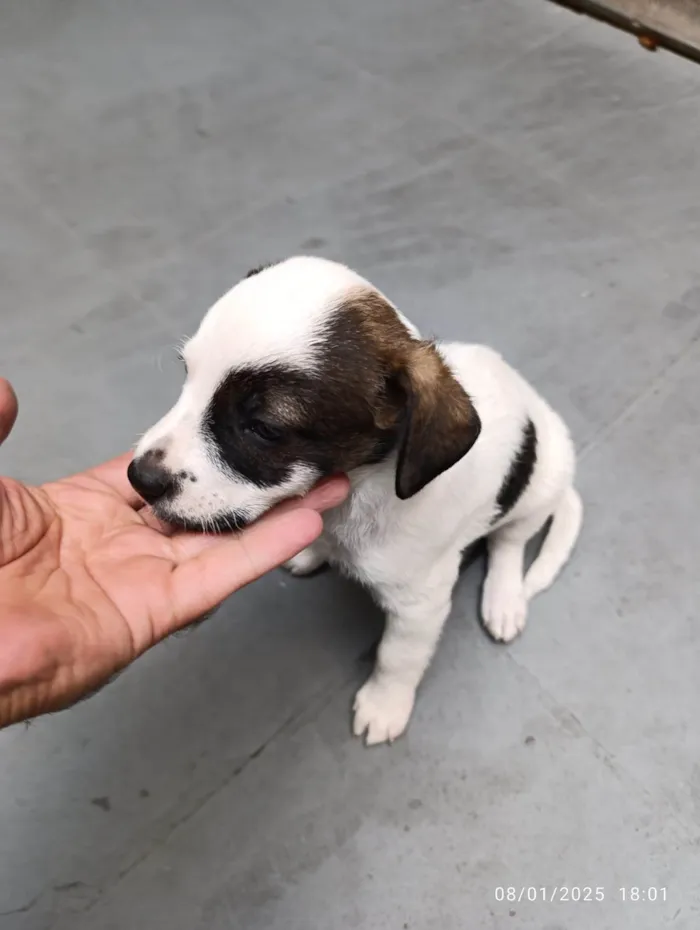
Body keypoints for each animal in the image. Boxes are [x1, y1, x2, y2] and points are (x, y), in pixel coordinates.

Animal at [129, 256, 584, 748]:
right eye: (187, 376)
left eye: (264, 428)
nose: (139, 479)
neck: (355, 498)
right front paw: (314, 549)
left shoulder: (420, 603)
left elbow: (396, 657)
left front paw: (385, 704)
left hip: (539, 488)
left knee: (509, 543)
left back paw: (504, 599)